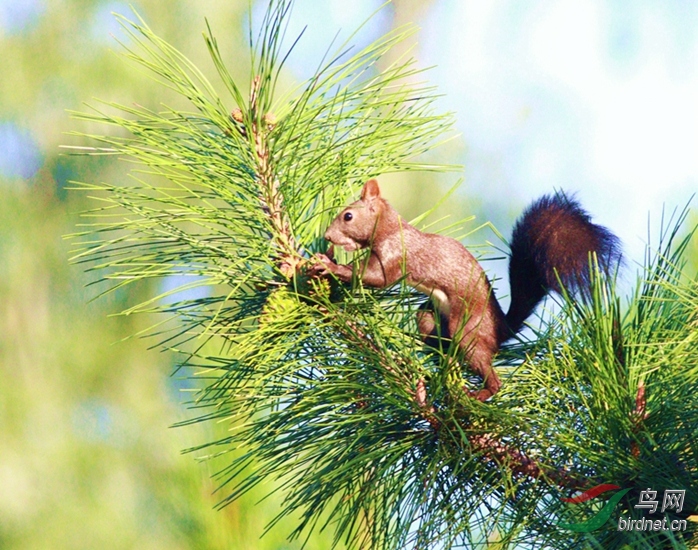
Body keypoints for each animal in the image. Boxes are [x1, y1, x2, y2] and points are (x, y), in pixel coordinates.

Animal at [312, 180, 620, 402]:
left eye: (348, 216)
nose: (327, 236)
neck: (390, 229)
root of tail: (501, 329)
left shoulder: (396, 256)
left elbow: (375, 278)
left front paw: (329, 265)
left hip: (469, 331)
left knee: (491, 375)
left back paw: (480, 393)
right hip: (431, 315)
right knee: (432, 329)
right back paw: (439, 356)